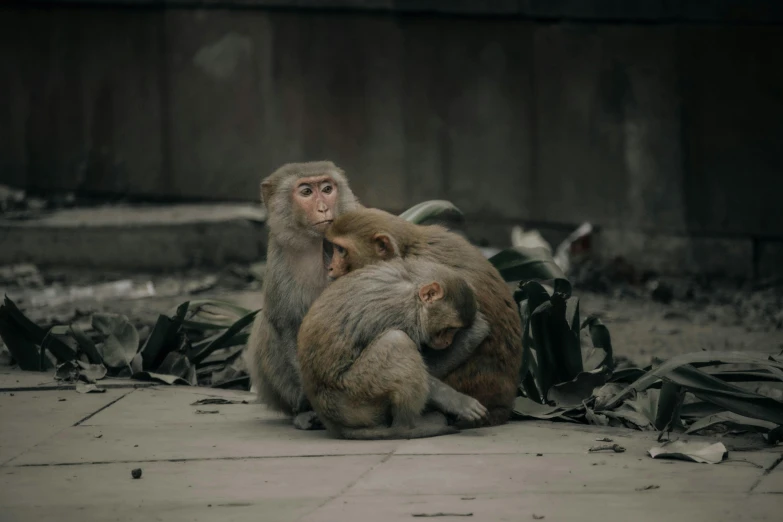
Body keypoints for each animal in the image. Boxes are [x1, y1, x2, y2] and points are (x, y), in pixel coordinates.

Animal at [242, 160, 362, 428]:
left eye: (327, 188)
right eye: (306, 192)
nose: (323, 208)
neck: (314, 244)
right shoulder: (278, 260)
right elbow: (286, 324)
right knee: (265, 326)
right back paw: (303, 411)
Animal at [298, 256, 490, 438]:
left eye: (454, 331)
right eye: (448, 330)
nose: (448, 342)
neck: (413, 290)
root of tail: (330, 422)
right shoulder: (403, 316)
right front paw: (458, 402)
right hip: (354, 400)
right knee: (397, 341)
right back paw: (407, 426)